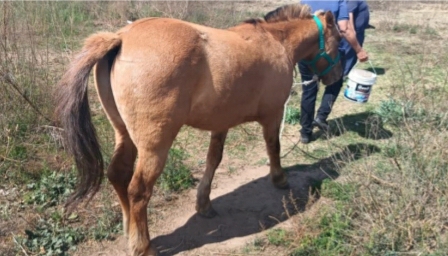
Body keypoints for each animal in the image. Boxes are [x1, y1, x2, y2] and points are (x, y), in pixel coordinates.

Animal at [57, 4, 340, 256]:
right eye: (339, 40)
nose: (336, 77)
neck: (275, 42)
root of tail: (121, 37)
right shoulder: (273, 115)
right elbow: (274, 147)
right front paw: (279, 179)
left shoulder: (221, 123)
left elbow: (213, 160)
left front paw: (204, 204)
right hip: (154, 147)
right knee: (138, 190)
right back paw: (143, 246)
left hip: (124, 134)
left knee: (118, 174)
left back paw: (131, 233)